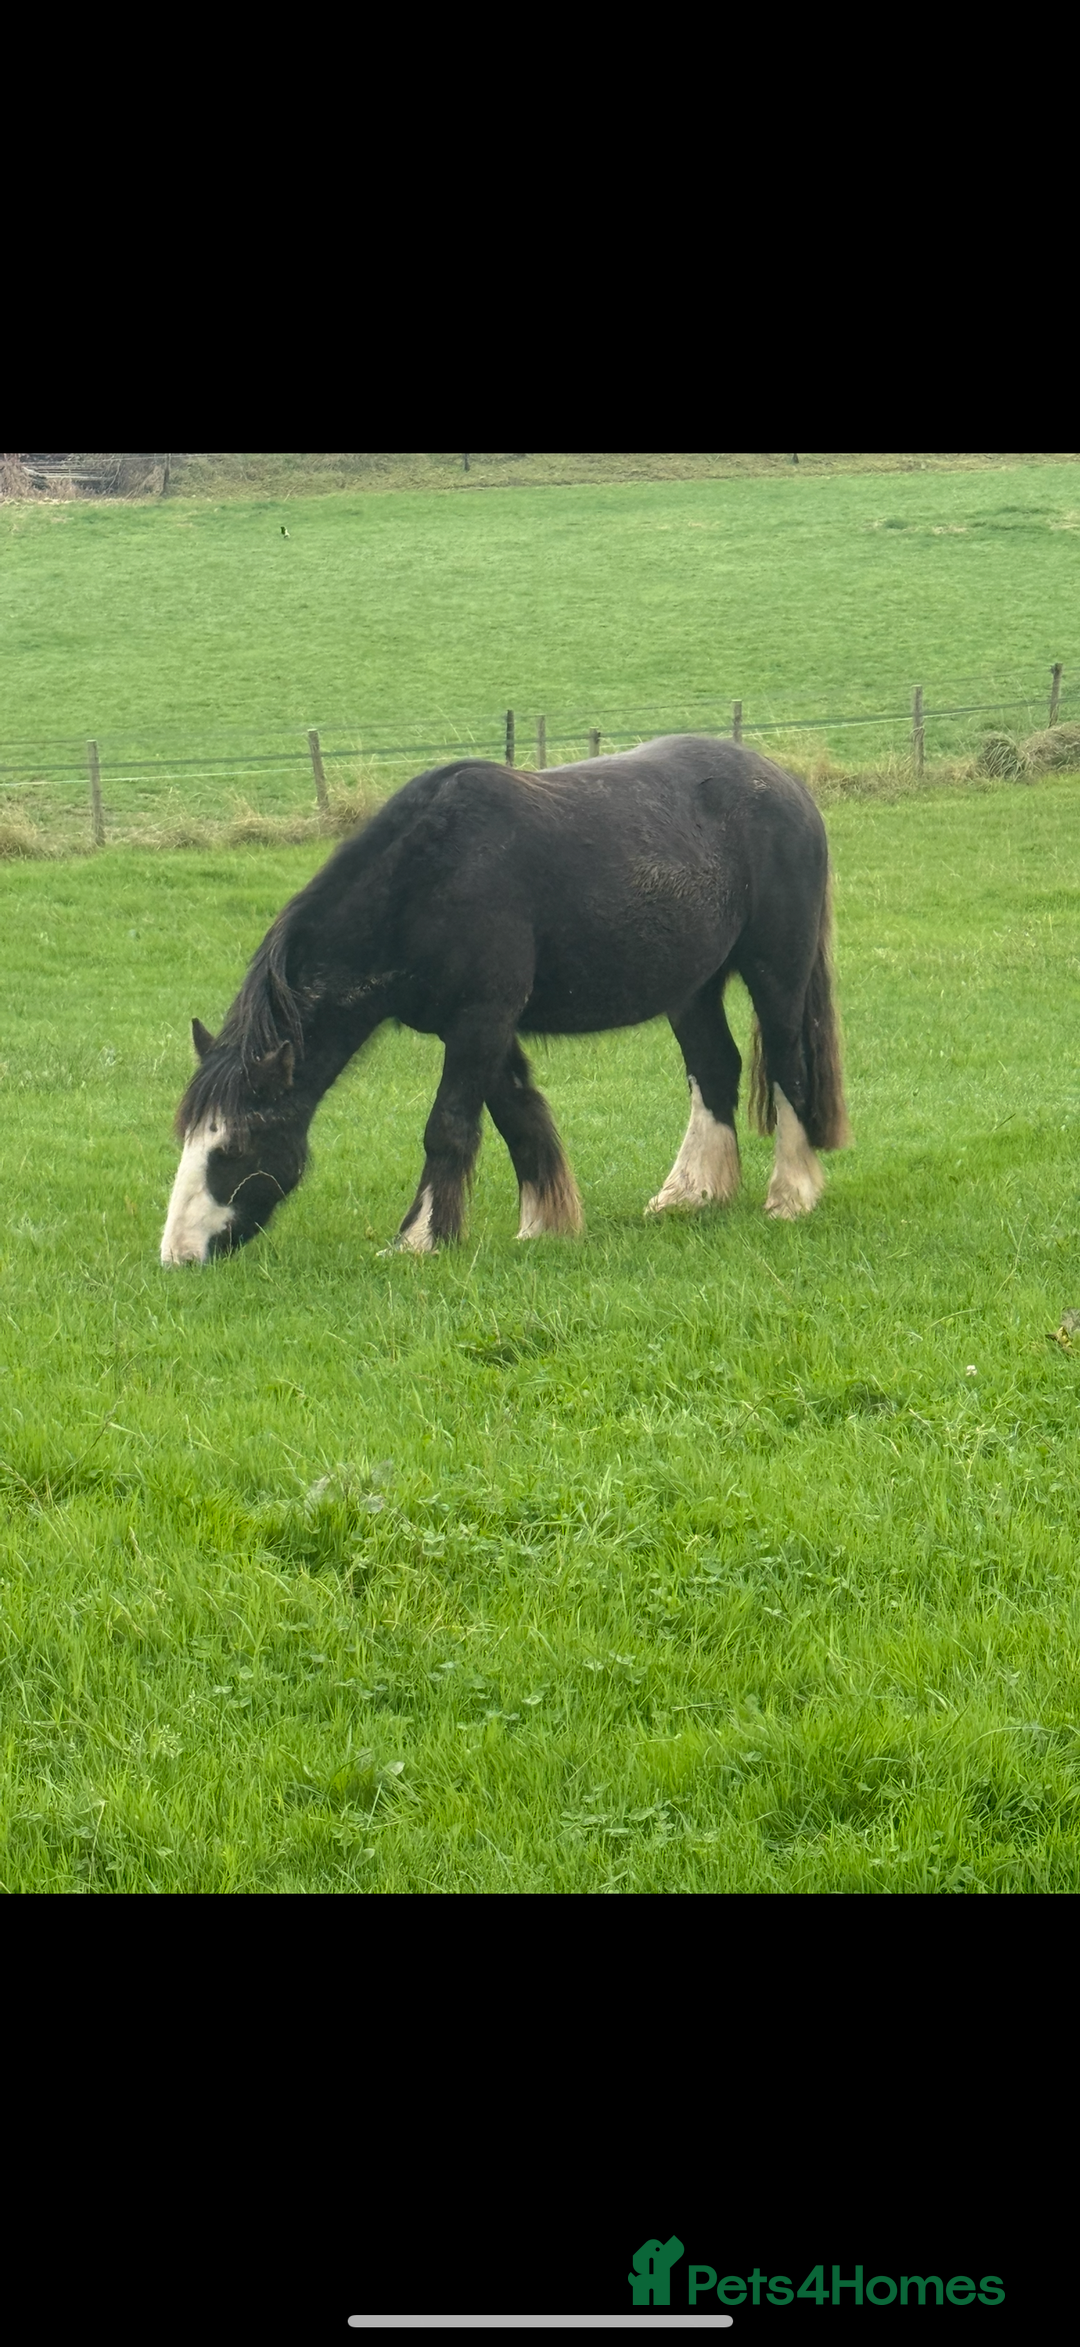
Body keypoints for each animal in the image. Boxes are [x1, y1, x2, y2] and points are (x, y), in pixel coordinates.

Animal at [160, 735, 850, 1265]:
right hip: (692, 988)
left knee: (787, 1066)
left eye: (234, 1148)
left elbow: (448, 1129)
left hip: (776, 972)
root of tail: (787, 786)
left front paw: (418, 1241)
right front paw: (545, 1224)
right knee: (714, 1068)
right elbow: (518, 1116)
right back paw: (691, 1194)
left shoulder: (481, 1020)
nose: (179, 1256)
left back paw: (791, 1196)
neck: (428, 876)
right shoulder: (478, 1028)